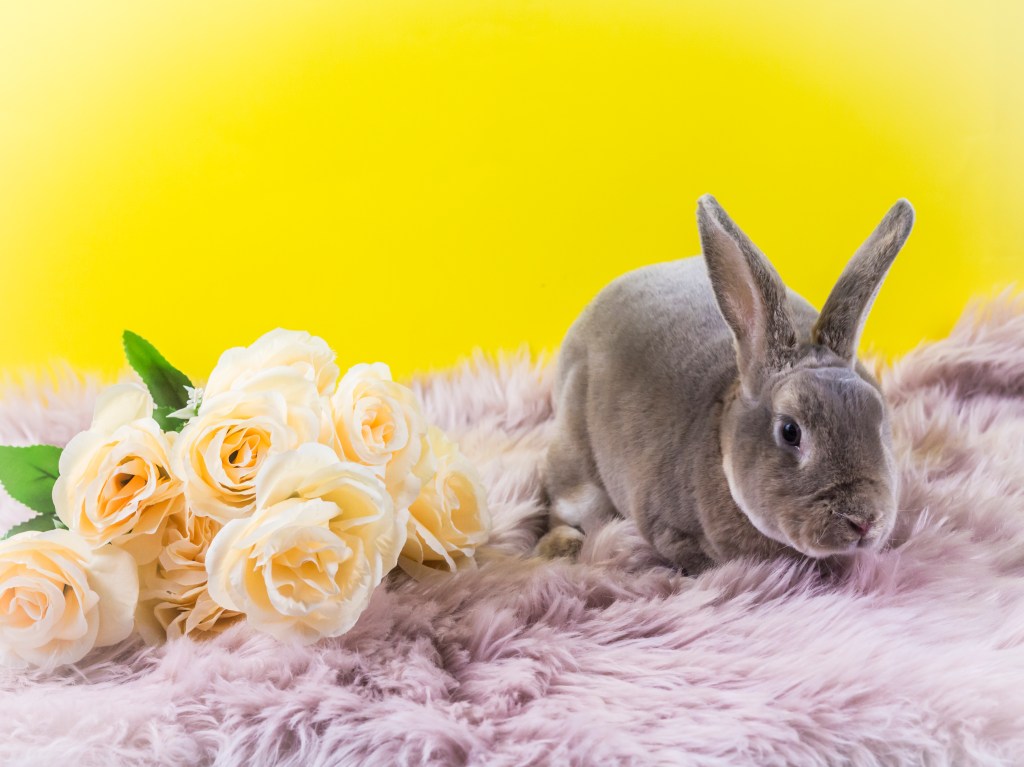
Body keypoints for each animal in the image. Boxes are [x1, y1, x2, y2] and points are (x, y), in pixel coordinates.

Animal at [538, 195, 914, 574]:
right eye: (790, 431)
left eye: (878, 421)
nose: (863, 521)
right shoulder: (668, 530)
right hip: (577, 467)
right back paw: (561, 547)